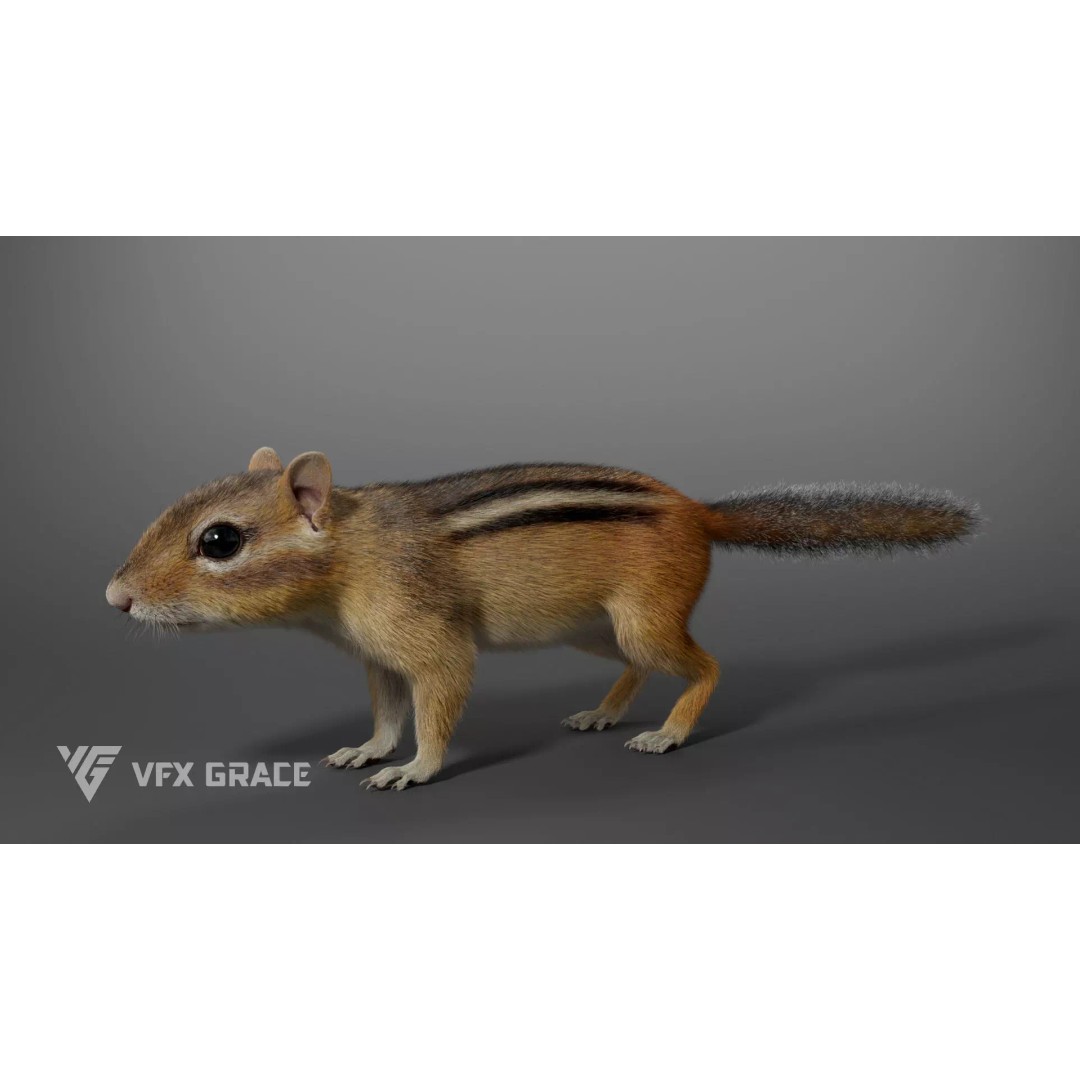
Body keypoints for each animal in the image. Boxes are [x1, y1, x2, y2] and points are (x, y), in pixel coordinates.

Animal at [105, 448, 980, 790]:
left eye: (220, 540)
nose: (115, 598)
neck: (354, 548)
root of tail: (699, 511)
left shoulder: (429, 642)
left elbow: (439, 702)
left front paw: (415, 769)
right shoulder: (377, 656)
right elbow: (387, 711)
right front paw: (368, 749)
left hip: (640, 616)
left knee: (703, 666)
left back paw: (667, 733)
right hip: (588, 628)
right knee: (637, 666)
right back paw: (601, 713)